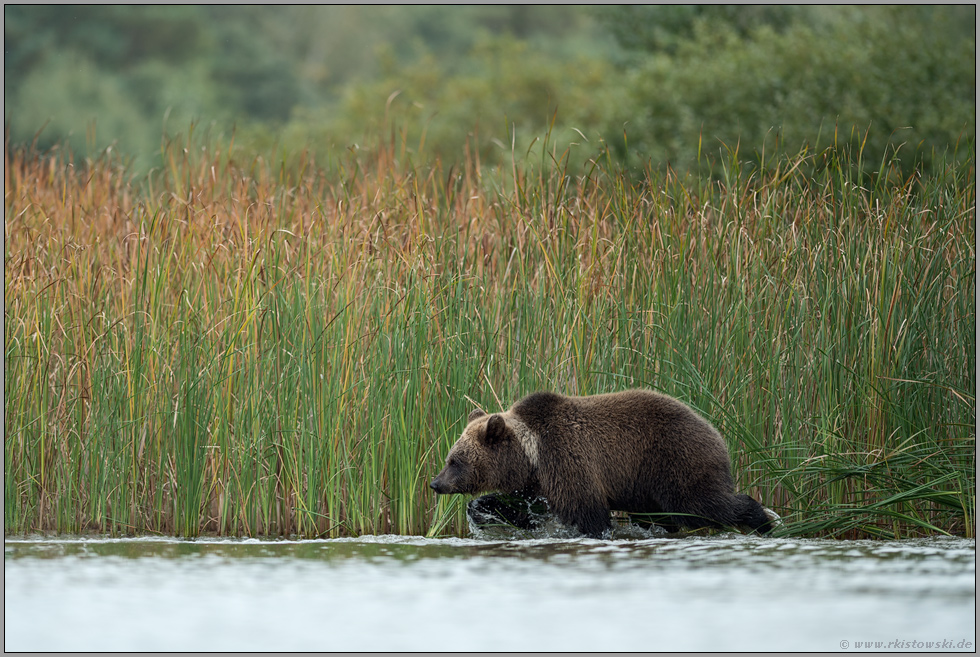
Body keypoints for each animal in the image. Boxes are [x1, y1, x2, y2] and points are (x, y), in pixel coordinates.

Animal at [428, 386, 772, 536]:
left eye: (455, 460)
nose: (435, 483)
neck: (532, 457)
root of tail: (717, 432)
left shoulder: (568, 460)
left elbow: (588, 512)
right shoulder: (536, 484)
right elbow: (521, 509)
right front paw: (481, 507)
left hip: (673, 458)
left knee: (700, 503)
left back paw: (761, 520)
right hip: (644, 486)